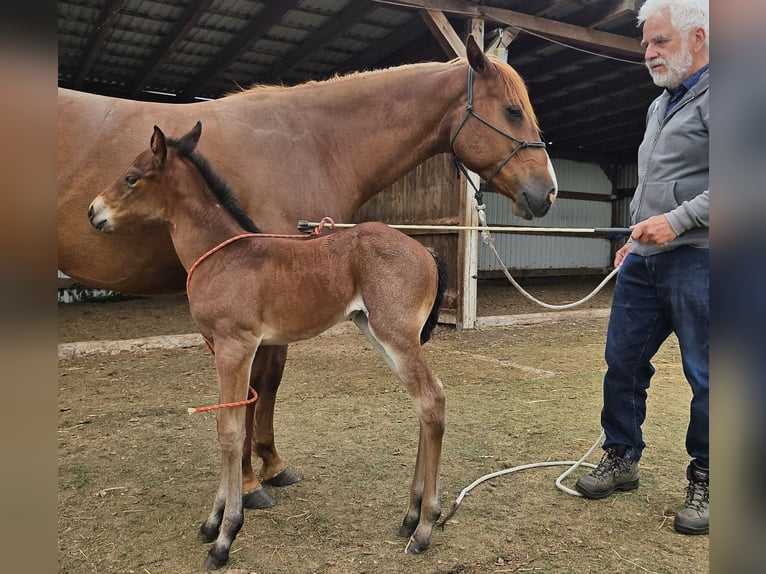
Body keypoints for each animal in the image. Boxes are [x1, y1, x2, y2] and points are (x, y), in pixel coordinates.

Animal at [59, 35, 557, 510]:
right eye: (513, 111)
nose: (546, 192)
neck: (314, 141)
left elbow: (263, 384)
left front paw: (265, 469)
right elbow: (255, 388)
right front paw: (252, 480)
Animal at [87, 121, 448, 569]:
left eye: (132, 178)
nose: (93, 211)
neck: (221, 257)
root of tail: (427, 250)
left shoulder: (235, 345)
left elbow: (230, 430)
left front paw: (225, 535)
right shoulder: (227, 349)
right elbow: (229, 421)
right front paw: (212, 523)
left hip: (395, 334)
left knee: (431, 400)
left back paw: (425, 527)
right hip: (377, 332)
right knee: (423, 404)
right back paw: (411, 515)